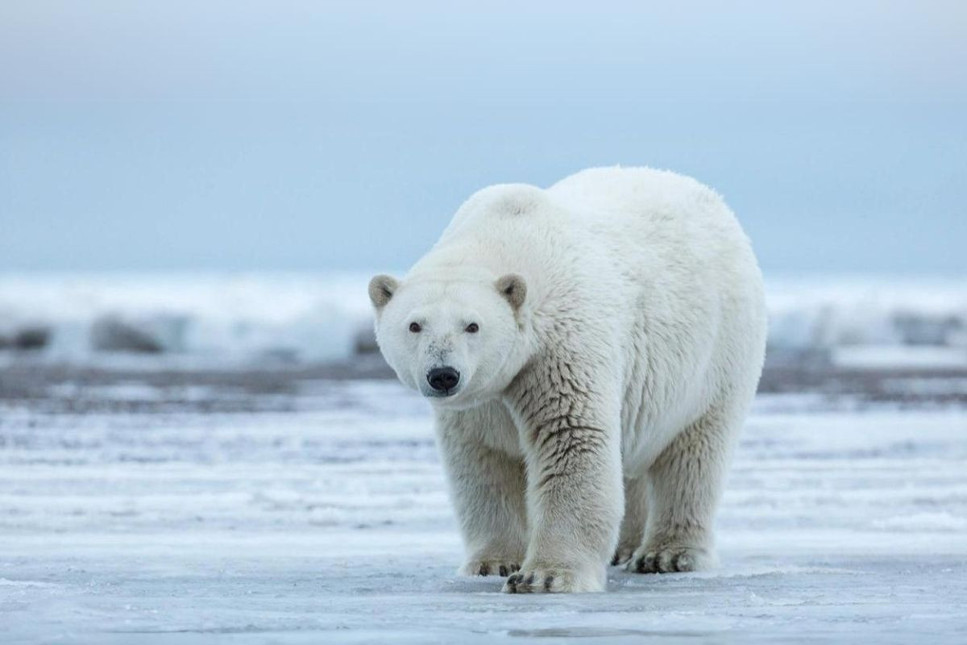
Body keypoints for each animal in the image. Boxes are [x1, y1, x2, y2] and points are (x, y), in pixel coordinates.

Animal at [368, 167, 764, 592]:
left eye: (472, 325)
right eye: (414, 325)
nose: (443, 375)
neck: (507, 232)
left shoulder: (560, 347)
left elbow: (571, 438)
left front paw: (544, 576)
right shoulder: (482, 400)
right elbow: (483, 461)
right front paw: (493, 563)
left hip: (717, 354)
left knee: (694, 455)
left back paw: (668, 554)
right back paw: (625, 547)